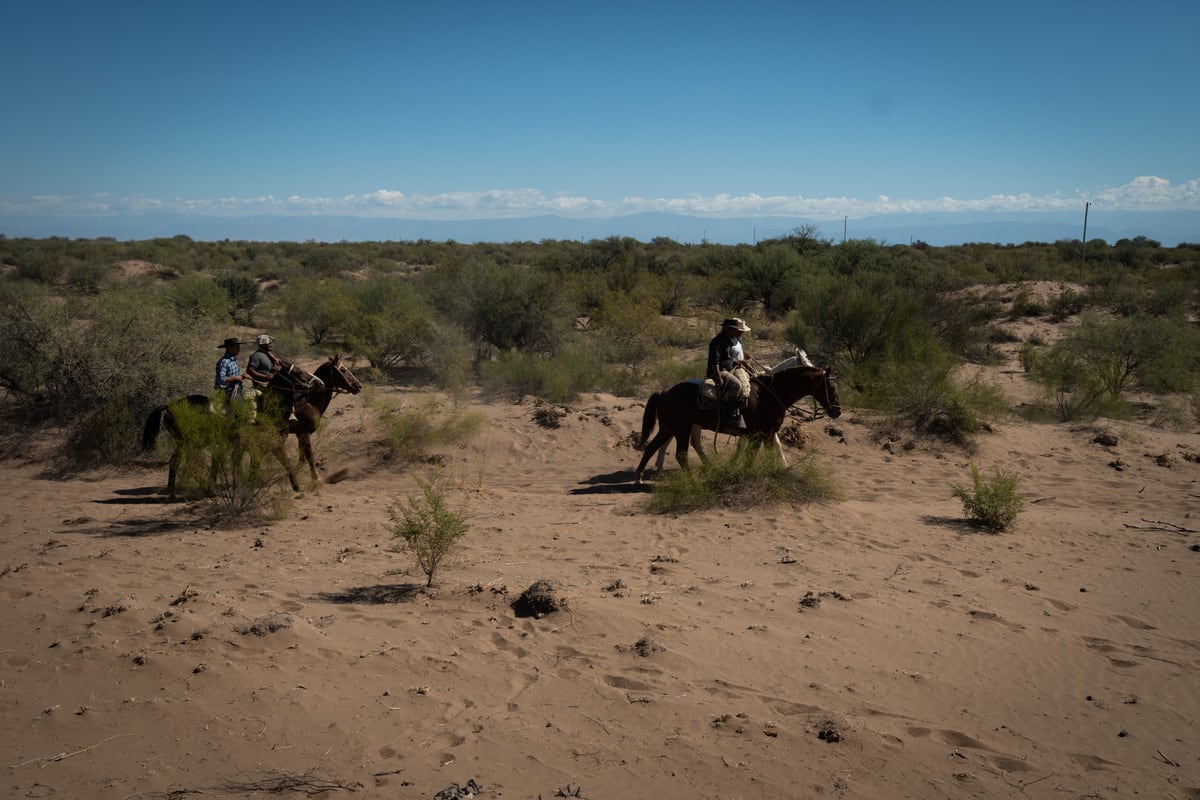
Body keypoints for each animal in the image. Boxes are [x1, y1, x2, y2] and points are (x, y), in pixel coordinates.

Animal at [143, 355, 357, 494]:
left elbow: (292, 458)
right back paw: (175, 492)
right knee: (178, 462)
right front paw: (310, 482)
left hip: (194, 442)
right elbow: (305, 458)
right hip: (189, 441)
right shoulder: (298, 434)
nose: (358, 385)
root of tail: (169, 406)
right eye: (343, 370)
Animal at [633, 367, 840, 484]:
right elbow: (750, 456)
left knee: (652, 447)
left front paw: (778, 470)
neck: (772, 394)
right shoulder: (758, 434)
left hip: (668, 428)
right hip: (682, 430)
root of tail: (665, 392)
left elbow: (769, 453)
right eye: (831, 387)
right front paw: (743, 474)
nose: (837, 411)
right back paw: (690, 478)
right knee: (681, 454)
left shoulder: (767, 434)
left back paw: (640, 476)